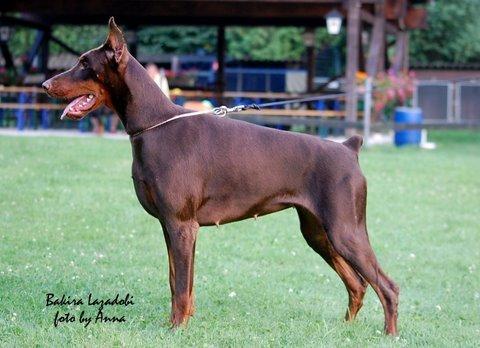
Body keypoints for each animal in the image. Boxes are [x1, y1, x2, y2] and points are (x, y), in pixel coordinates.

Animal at [43, 19, 400, 334]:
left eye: (84, 63)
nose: (45, 85)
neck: (154, 125)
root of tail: (349, 148)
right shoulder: (171, 226)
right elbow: (177, 282)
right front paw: (178, 325)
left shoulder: (182, 225)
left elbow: (181, 286)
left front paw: (175, 330)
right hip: (318, 232)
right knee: (357, 284)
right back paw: (345, 329)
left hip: (345, 229)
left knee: (387, 286)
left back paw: (389, 334)